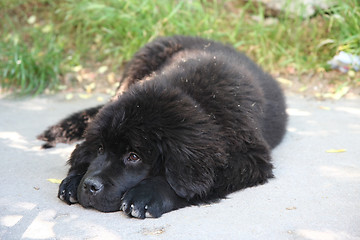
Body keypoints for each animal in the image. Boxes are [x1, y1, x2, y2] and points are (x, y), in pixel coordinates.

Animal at [38, 35, 286, 218]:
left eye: (134, 156)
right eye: (100, 149)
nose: (89, 186)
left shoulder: (249, 158)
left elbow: (199, 182)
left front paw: (147, 196)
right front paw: (74, 179)